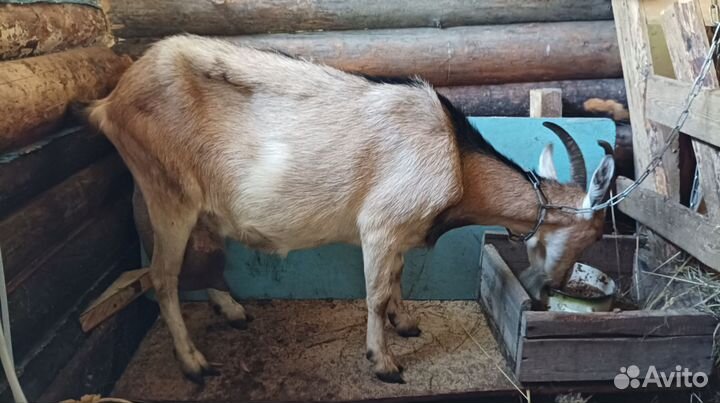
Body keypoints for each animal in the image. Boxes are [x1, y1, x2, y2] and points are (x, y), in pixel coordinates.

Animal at [79, 35, 614, 384]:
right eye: (594, 234)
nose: (548, 290)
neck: (457, 161)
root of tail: (111, 101)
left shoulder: (396, 236)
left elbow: (395, 280)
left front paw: (406, 324)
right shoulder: (379, 227)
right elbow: (375, 294)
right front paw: (385, 363)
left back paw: (231, 310)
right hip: (166, 192)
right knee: (162, 276)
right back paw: (193, 363)